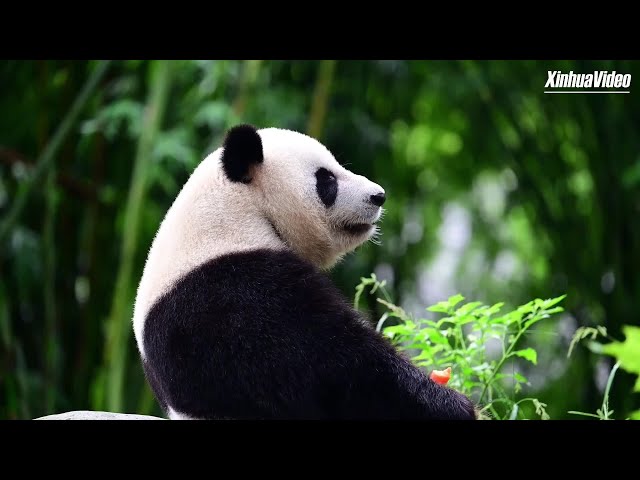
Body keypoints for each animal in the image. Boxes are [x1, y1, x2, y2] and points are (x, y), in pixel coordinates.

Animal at [132, 124, 478, 420]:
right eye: (326, 179)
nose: (379, 195)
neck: (234, 214)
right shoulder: (228, 296)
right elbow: (334, 364)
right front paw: (452, 404)